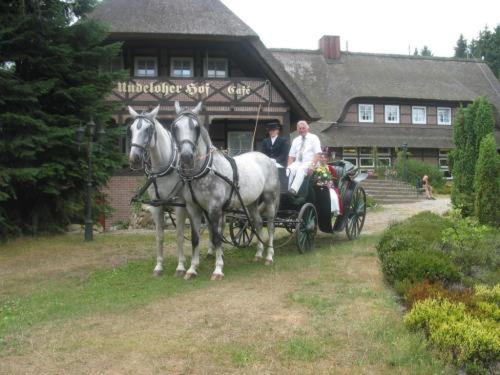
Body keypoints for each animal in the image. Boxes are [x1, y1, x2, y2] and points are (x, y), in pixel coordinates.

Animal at [128, 106, 212, 280]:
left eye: (148, 129)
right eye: (131, 129)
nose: (134, 158)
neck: (163, 168)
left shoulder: (179, 206)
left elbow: (179, 236)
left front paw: (180, 267)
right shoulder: (156, 206)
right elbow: (159, 236)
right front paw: (159, 266)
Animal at [171, 101, 282, 280]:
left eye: (196, 127)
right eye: (175, 127)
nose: (186, 156)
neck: (206, 170)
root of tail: (268, 159)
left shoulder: (215, 209)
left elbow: (217, 238)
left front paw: (218, 269)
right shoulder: (193, 208)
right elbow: (195, 238)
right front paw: (192, 269)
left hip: (270, 198)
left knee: (270, 225)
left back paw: (269, 256)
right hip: (251, 202)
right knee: (258, 223)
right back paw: (258, 254)